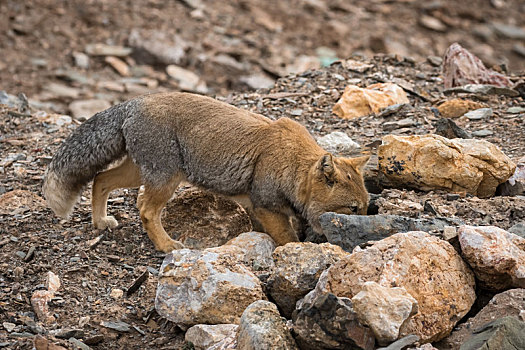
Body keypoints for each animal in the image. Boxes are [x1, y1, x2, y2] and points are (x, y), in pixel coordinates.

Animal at [42, 92, 368, 252]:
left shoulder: (257, 208)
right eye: (352, 209)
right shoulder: (267, 207)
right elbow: (289, 240)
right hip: (166, 179)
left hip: (139, 173)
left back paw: (100, 222)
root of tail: (134, 102)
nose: (364, 235)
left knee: (100, 179)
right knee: (145, 210)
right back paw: (166, 245)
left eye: (366, 208)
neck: (292, 166)